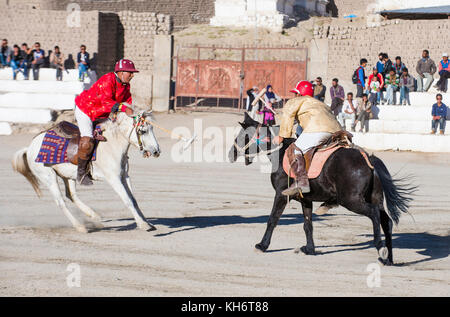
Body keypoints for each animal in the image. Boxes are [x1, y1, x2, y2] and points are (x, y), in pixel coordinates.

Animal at [11, 111, 162, 232]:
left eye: (152, 128)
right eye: (143, 131)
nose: (156, 151)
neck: (112, 144)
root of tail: (30, 148)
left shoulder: (124, 176)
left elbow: (133, 200)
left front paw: (147, 222)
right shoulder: (114, 179)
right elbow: (127, 200)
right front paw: (144, 225)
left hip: (68, 176)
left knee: (71, 195)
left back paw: (94, 216)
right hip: (48, 177)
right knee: (60, 201)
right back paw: (80, 227)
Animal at [229, 113, 414, 264]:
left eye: (242, 136)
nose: (231, 154)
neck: (281, 153)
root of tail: (368, 159)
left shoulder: (281, 195)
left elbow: (272, 219)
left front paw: (262, 245)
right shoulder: (305, 199)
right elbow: (307, 224)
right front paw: (309, 249)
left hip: (351, 200)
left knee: (374, 214)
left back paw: (379, 246)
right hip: (374, 199)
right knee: (386, 221)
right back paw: (388, 258)